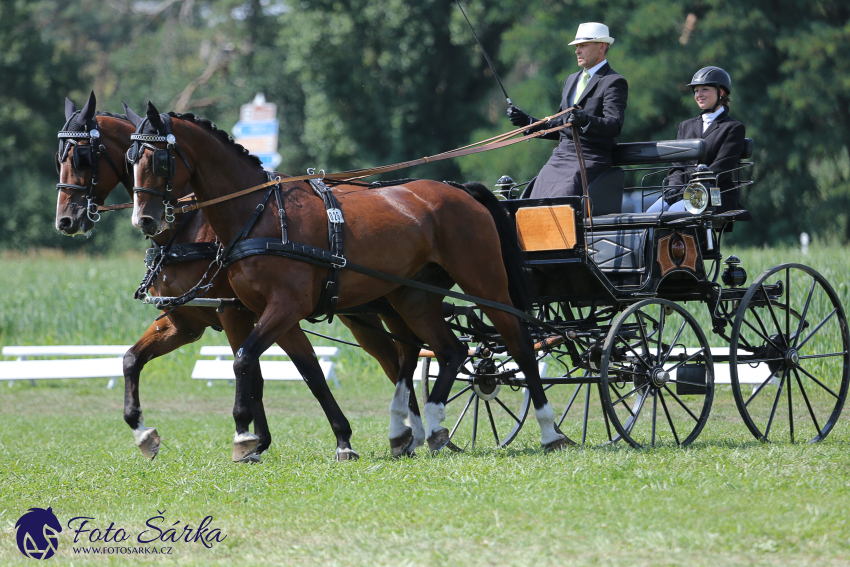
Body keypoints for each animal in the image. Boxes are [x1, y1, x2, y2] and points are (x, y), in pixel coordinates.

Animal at [54, 93, 424, 464]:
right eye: (59, 157)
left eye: (83, 157)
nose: (65, 221)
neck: (191, 226)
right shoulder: (186, 321)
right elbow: (132, 359)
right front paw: (145, 432)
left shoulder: (233, 310)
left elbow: (252, 371)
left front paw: (251, 438)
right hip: (365, 312)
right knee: (398, 359)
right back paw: (413, 431)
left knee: (402, 359)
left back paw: (415, 431)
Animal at [129, 102, 568, 454]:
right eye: (132, 158)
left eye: (159, 161)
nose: (144, 220)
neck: (259, 213)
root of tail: (459, 189)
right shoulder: (262, 313)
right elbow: (295, 369)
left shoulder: (279, 307)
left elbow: (244, 361)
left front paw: (245, 436)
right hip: (412, 299)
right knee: (447, 352)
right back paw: (432, 429)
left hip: (484, 283)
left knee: (519, 343)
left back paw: (549, 431)